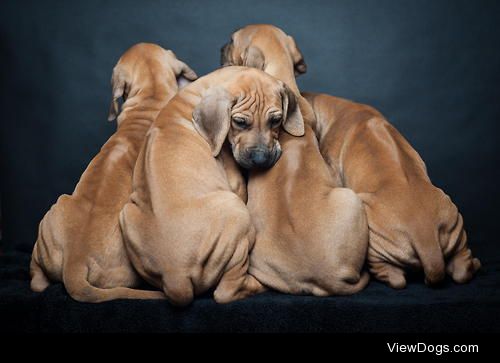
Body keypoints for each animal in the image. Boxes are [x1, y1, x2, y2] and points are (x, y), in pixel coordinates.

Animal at [120, 66, 304, 308]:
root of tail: (175, 277)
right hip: (237, 212)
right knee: (226, 291)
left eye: (276, 120)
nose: (260, 159)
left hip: (125, 215)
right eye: (240, 122)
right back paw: (261, 284)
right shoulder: (236, 185)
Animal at [300, 94, 480, 290]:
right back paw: (475, 264)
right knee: (462, 270)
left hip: (372, 237)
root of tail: (426, 237)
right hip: (455, 226)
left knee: (396, 279)